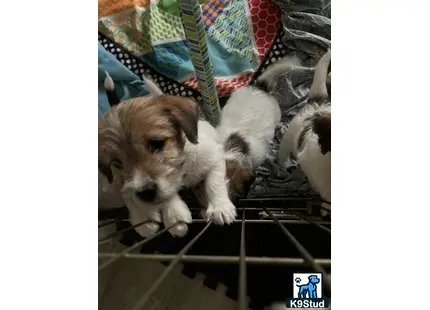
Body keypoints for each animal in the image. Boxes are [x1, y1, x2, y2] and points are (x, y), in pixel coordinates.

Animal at [99, 74, 237, 237]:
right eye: (117, 162)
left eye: (157, 143)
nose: (145, 194)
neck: (183, 168)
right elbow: (154, 195)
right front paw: (173, 216)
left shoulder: (215, 157)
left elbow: (214, 182)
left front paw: (220, 207)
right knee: (125, 193)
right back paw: (142, 218)